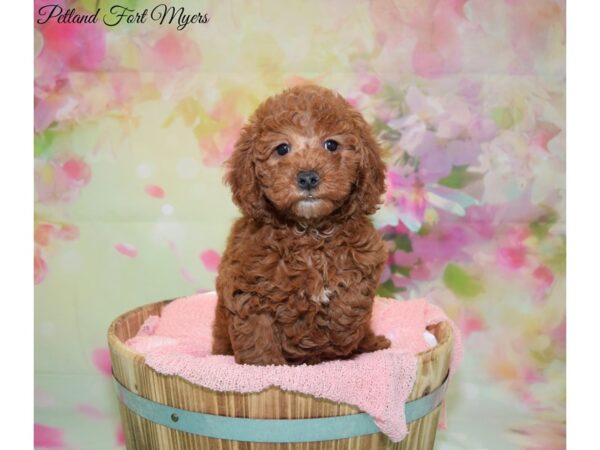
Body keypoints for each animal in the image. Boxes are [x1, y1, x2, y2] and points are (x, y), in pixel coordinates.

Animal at [213, 84, 392, 366]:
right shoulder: (246, 286)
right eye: (282, 149)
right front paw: (265, 364)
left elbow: (352, 301)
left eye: (331, 144)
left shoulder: (365, 260)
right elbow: (258, 332)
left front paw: (340, 335)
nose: (308, 177)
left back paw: (371, 342)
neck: (310, 231)